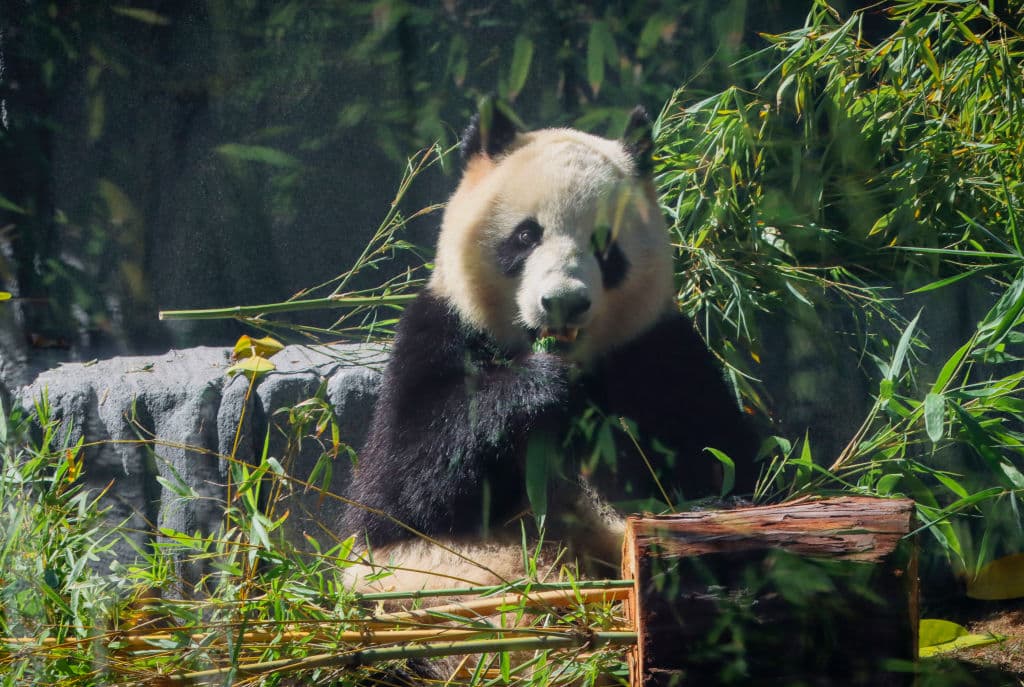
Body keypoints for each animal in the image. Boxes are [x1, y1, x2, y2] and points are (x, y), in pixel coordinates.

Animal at [340, 105, 759, 588]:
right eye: (526, 236)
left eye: (604, 243)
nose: (564, 302)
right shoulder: (440, 331)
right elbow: (396, 489)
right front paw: (540, 386)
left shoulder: (657, 349)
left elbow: (725, 460)